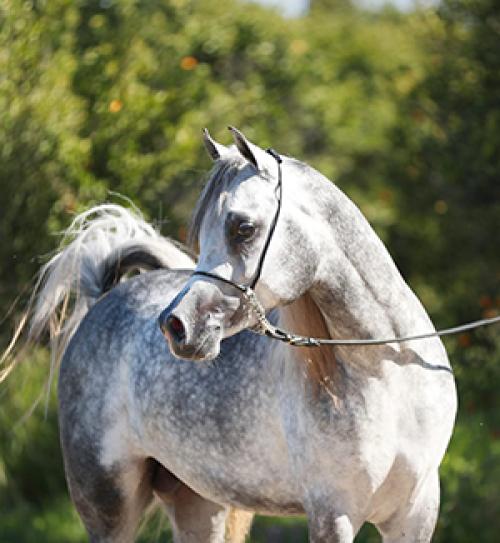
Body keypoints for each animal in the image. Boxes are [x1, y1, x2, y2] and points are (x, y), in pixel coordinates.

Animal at [159, 126, 458, 540]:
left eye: (243, 229)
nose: (176, 325)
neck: (388, 371)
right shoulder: (333, 512)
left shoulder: (417, 511)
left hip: (199, 505)